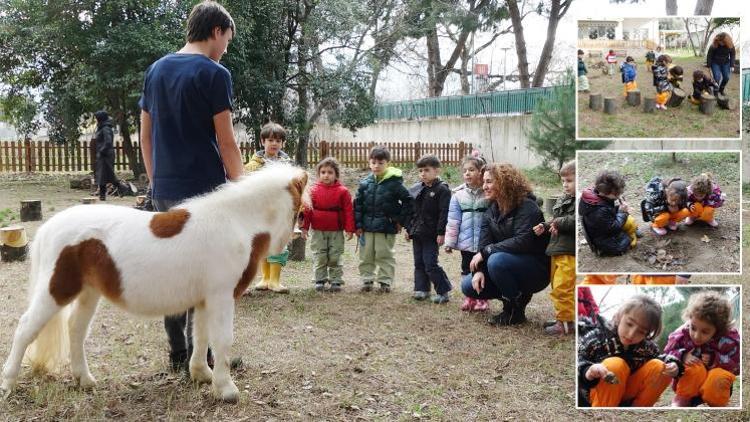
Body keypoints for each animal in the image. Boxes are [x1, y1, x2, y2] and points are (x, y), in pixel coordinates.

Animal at [0, 163, 308, 400]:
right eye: (301, 208)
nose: (293, 239)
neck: (234, 222)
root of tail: (49, 227)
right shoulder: (221, 297)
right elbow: (222, 339)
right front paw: (226, 389)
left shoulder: (205, 299)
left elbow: (200, 335)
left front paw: (202, 375)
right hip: (57, 290)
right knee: (26, 329)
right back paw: (8, 383)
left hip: (88, 292)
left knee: (76, 329)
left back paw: (84, 379)